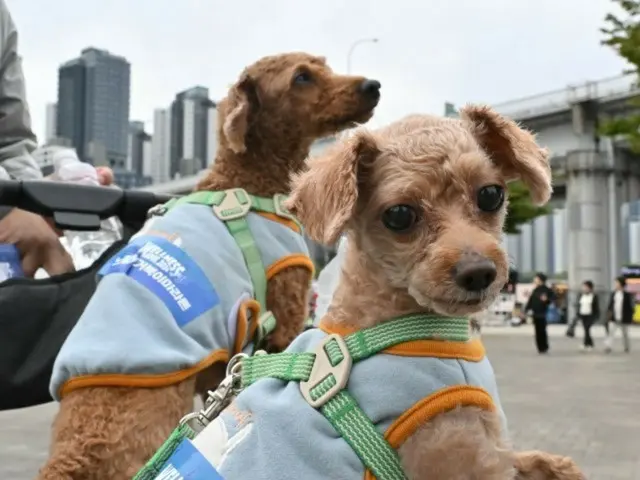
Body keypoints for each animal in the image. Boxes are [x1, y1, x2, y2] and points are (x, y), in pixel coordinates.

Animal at [37, 50, 380, 478]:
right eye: (302, 77)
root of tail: (76, 453)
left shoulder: (221, 362)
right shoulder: (284, 313)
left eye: (325, 64)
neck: (246, 183)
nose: (372, 86)